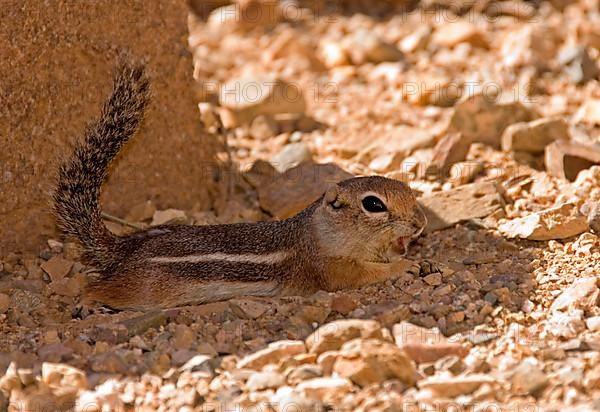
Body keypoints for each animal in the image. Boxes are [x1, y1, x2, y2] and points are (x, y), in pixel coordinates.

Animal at [51, 62, 426, 308]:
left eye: (410, 192)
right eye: (374, 204)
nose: (420, 224)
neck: (320, 232)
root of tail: (122, 248)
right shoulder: (332, 269)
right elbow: (366, 275)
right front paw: (407, 266)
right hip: (141, 291)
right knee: (99, 288)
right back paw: (86, 302)